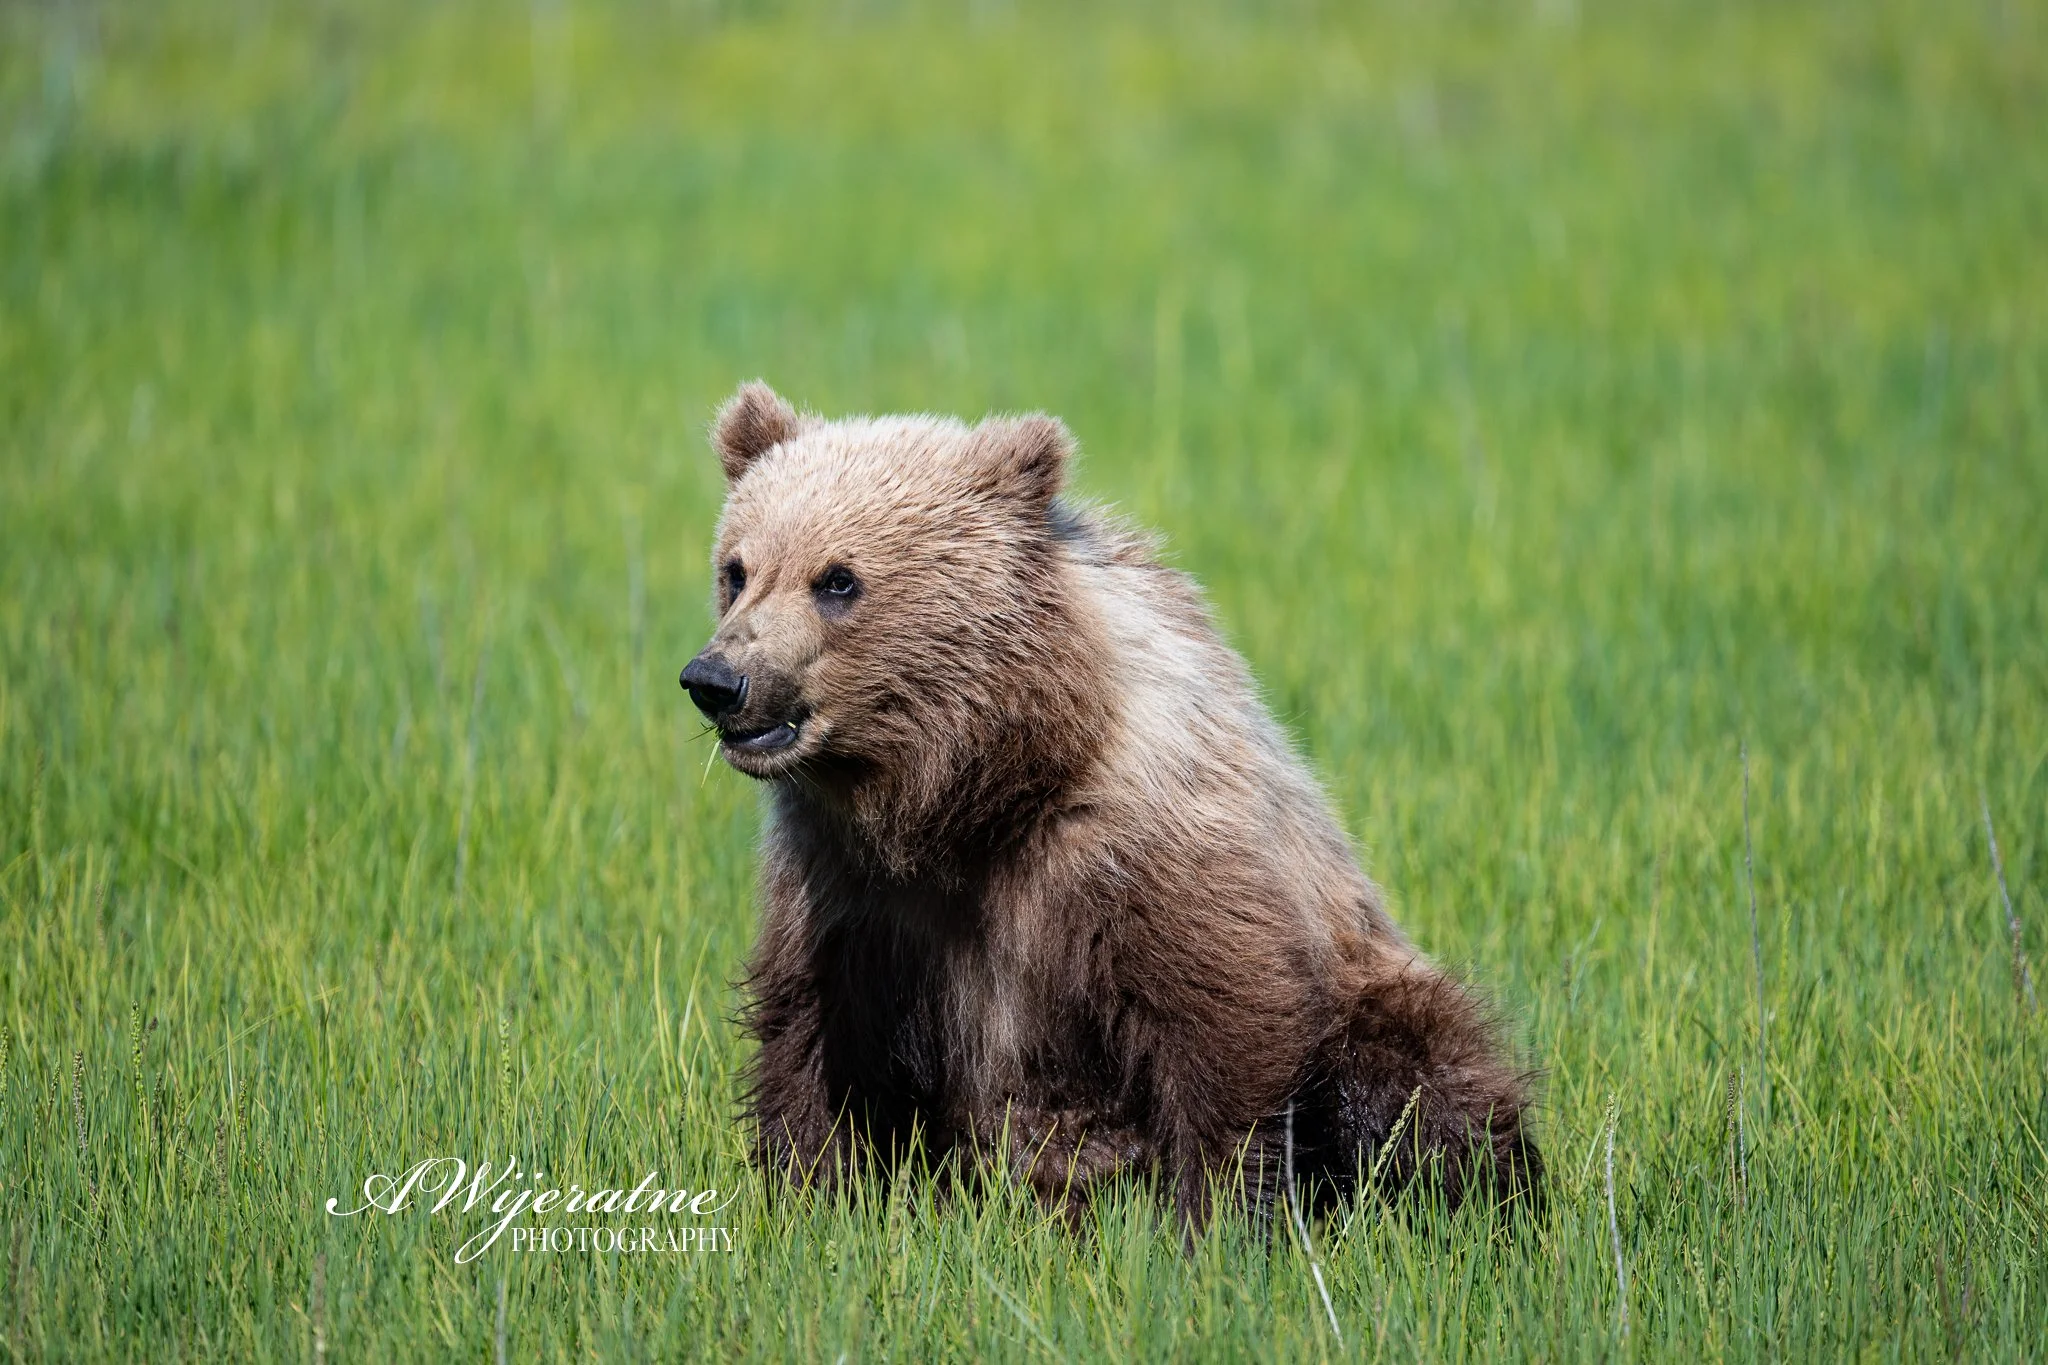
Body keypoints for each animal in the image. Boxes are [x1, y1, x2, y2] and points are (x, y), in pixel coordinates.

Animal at [680, 381, 1541, 1232]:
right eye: (737, 568)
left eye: (838, 579)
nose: (716, 678)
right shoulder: (846, 886)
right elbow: (814, 1039)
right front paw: (810, 1195)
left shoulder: (1138, 847)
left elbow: (1224, 1021)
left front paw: (1218, 1219)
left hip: (1373, 982)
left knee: (1416, 1071)